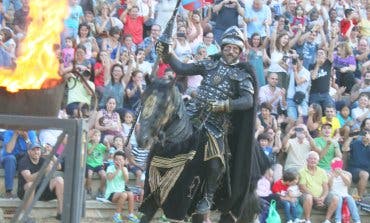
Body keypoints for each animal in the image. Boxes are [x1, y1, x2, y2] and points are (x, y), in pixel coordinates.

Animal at [136, 77, 266, 222]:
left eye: (163, 106)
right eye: (142, 100)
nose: (142, 139)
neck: (175, 148)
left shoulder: (179, 204)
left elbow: (247, 99)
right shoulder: (152, 200)